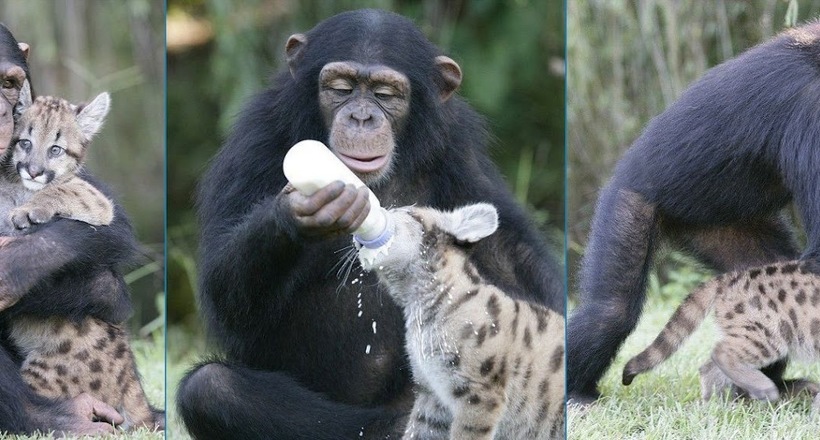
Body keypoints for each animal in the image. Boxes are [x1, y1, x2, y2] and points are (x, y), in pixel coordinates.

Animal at [0, 23, 140, 434]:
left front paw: (28, 212)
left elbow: (65, 188)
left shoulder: (97, 200)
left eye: (56, 149)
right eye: (25, 142)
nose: (33, 170)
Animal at [179, 7, 564, 440]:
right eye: (342, 88)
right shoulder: (253, 140)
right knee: (211, 387)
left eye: (384, 93)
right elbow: (225, 294)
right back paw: (394, 424)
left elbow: (511, 258)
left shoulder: (458, 147)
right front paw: (296, 211)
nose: (361, 116)